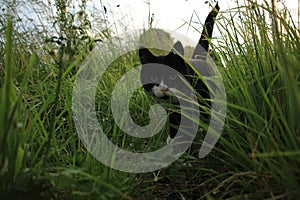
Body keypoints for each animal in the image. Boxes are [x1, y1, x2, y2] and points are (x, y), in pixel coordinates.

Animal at [139, 2, 220, 144]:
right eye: (153, 77)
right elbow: (174, 123)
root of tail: (198, 58)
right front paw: (173, 139)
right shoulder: (171, 111)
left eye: (173, 76)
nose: (164, 88)